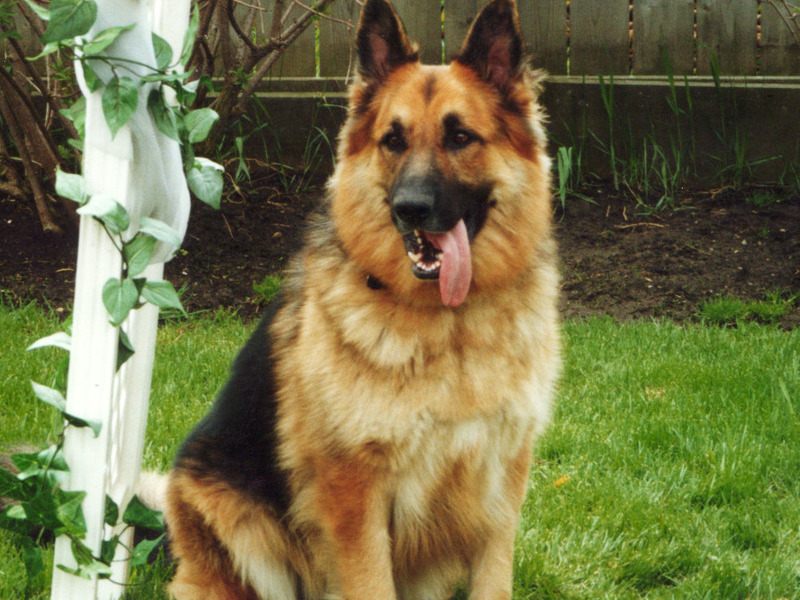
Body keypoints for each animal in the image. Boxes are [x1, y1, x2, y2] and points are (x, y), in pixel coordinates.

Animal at [166, 0, 560, 596]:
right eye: (392, 140)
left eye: (460, 137)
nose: (410, 209)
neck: (450, 325)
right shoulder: (356, 495)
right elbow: (370, 582)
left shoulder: (501, 486)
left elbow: (495, 580)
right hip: (232, 512)